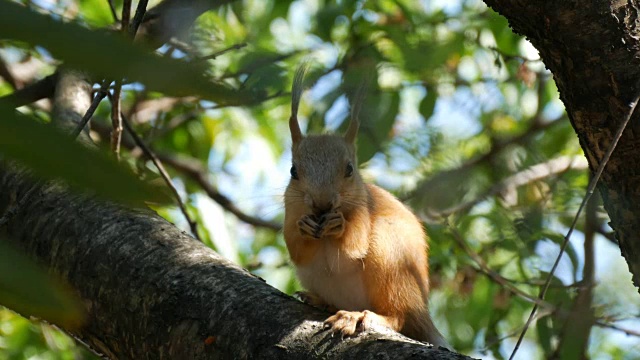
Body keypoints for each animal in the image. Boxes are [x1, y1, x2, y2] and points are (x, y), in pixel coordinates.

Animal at [282, 66, 448, 348]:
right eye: (293, 171)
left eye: (350, 169)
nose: (322, 204)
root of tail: (422, 312)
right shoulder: (290, 209)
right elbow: (297, 250)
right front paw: (304, 226)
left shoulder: (364, 210)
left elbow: (354, 245)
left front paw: (339, 225)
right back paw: (321, 301)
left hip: (390, 260)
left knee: (398, 316)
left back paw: (357, 316)